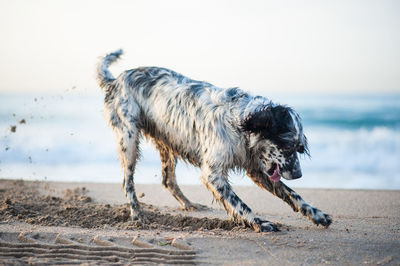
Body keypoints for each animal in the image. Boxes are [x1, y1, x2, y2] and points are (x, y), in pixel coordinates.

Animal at [97, 50, 332, 233]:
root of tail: (116, 80)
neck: (239, 120)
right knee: (128, 182)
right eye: (287, 146)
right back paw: (137, 214)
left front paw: (317, 214)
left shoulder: (257, 169)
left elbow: (292, 194)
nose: (298, 174)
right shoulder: (213, 173)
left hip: (168, 142)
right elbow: (238, 203)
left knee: (168, 180)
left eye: (299, 148)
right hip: (129, 139)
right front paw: (259, 222)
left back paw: (190, 204)